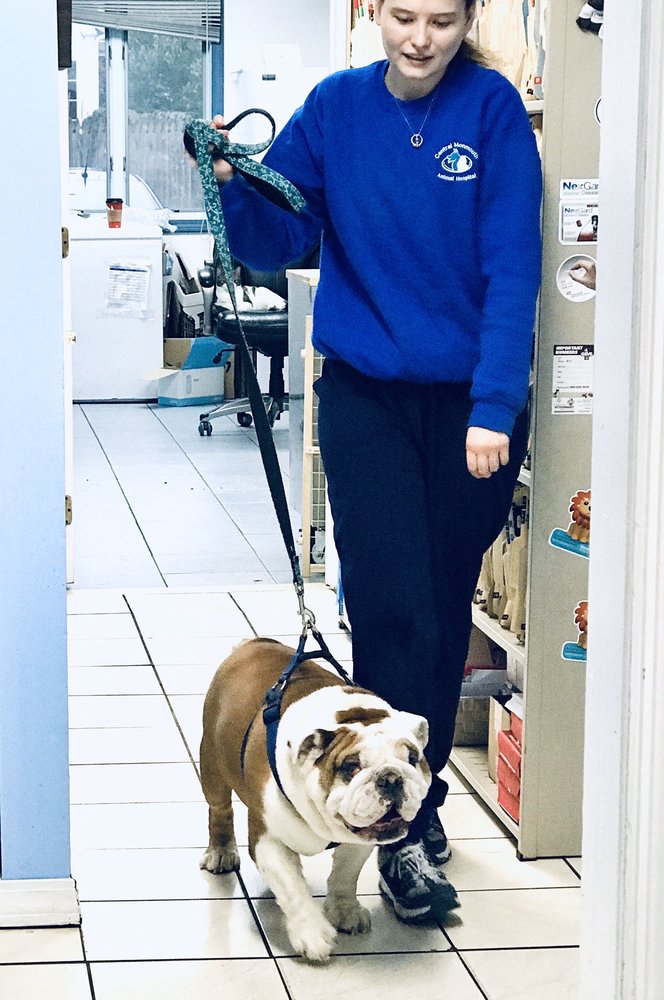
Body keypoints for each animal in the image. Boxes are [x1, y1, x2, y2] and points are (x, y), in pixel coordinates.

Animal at [199, 637, 431, 963]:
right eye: (351, 766)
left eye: (412, 758)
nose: (391, 778)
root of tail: (255, 642)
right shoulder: (268, 840)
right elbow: (293, 888)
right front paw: (312, 934)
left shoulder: (358, 842)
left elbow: (345, 875)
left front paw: (345, 912)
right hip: (212, 761)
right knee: (219, 808)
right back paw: (221, 852)